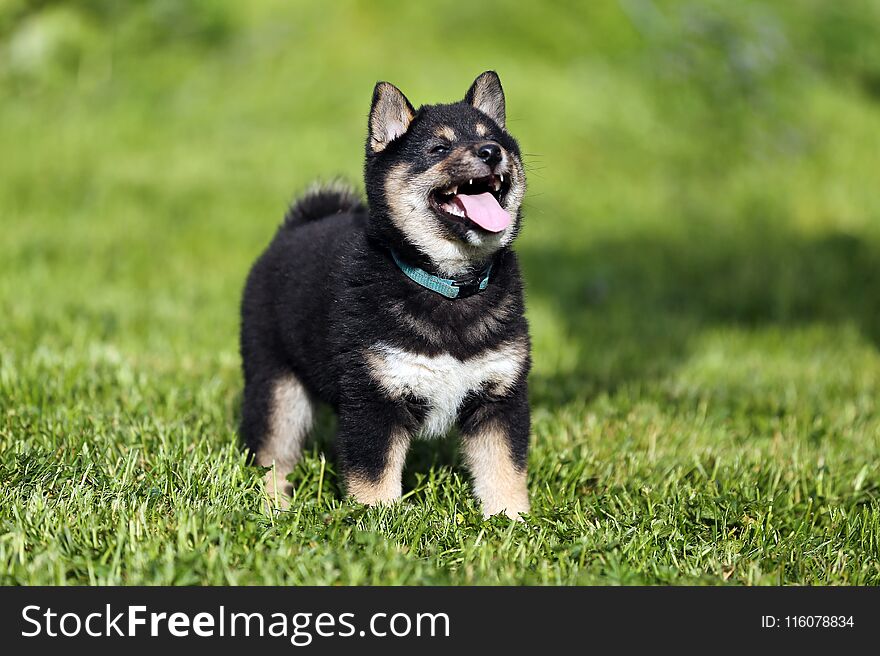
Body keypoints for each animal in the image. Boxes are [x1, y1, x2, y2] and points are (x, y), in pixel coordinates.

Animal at [239, 72, 528, 520]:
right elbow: (374, 475)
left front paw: (513, 522)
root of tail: (292, 230)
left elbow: (504, 469)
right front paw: (379, 523)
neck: (448, 287)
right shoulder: (374, 397)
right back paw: (274, 508)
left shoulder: (500, 397)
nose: (491, 152)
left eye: (492, 138)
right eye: (439, 148)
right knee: (272, 453)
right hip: (277, 385)